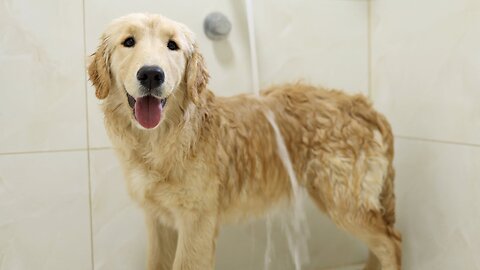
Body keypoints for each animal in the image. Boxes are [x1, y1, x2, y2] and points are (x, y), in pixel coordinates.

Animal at [87, 13, 402, 270]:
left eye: (172, 45)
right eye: (128, 41)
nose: (152, 73)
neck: (162, 139)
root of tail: (361, 105)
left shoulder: (197, 221)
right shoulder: (158, 221)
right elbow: (157, 263)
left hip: (343, 201)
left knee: (392, 242)